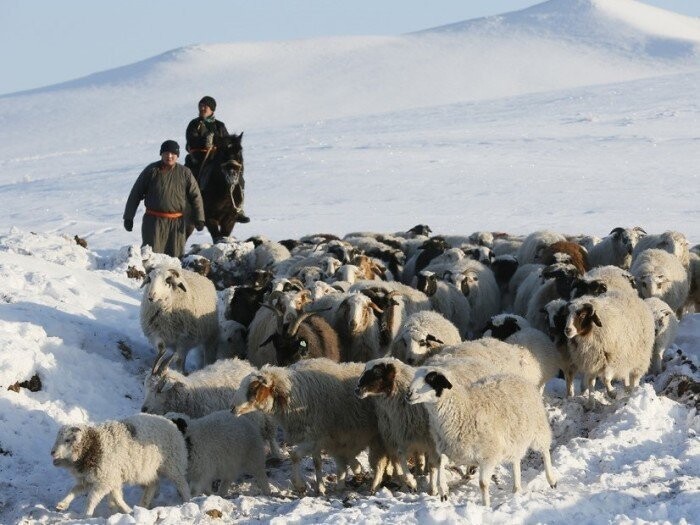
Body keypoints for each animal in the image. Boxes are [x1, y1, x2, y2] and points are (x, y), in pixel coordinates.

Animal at [50, 414, 190, 516]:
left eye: (67, 440)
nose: (52, 452)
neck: (94, 446)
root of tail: (172, 424)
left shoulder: (105, 480)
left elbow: (92, 498)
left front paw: (86, 515)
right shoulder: (97, 479)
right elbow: (75, 490)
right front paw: (62, 504)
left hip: (173, 464)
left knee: (182, 485)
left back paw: (187, 502)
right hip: (144, 471)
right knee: (153, 483)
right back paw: (143, 504)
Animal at [139, 354, 284, 460]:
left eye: (159, 389)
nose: (143, 409)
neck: (191, 395)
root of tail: (242, 363)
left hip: (263, 416)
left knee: (270, 435)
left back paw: (277, 454)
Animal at [234, 358, 388, 494]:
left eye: (253, 389)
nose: (233, 408)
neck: (295, 394)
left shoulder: (317, 437)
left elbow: (294, 455)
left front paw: (300, 485)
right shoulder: (317, 437)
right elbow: (317, 462)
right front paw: (321, 488)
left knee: (379, 462)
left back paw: (373, 485)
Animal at [356, 354, 438, 494]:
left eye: (377, 372)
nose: (357, 389)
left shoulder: (431, 441)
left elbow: (433, 466)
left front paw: (433, 490)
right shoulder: (399, 436)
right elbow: (399, 458)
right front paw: (411, 482)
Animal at [404, 368, 556, 504]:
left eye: (431, 379)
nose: (408, 394)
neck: (463, 409)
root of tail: (516, 376)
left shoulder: (488, 456)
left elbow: (483, 483)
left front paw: (486, 505)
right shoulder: (454, 452)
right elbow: (440, 462)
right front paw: (443, 491)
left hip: (538, 429)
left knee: (545, 451)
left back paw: (552, 480)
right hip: (514, 439)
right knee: (516, 460)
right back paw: (516, 488)